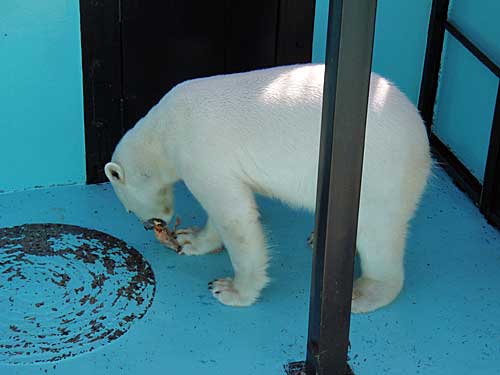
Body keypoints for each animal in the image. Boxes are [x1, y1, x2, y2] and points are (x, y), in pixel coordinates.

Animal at [103, 63, 432, 312]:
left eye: (128, 208)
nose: (150, 225)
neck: (163, 131)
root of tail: (422, 136)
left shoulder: (200, 150)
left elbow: (234, 216)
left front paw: (230, 289)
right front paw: (189, 238)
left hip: (379, 170)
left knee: (377, 233)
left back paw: (363, 293)